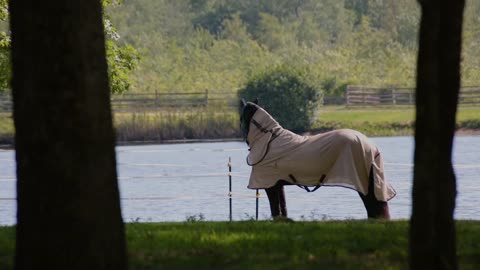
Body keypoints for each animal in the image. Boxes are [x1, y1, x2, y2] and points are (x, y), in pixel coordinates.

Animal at [238, 99, 396, 219]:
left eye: (241, 118)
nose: (245, 140)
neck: (269, 142)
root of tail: (372, 147)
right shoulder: (278, 185)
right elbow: (282, 210)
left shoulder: (270, 186)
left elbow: (275, 210)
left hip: (363, 184)